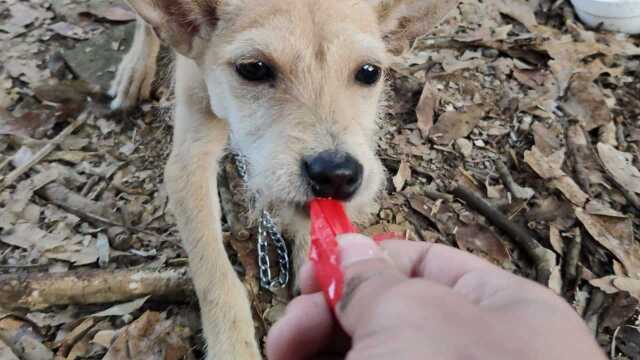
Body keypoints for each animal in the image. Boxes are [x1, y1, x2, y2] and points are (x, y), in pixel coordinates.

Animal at [109, 0, 456, 358]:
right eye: (253, 69)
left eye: (369, 72)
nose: (336, 174)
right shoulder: (188, 161)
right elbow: (214, 273)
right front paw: (232, 347)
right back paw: (135, 69)